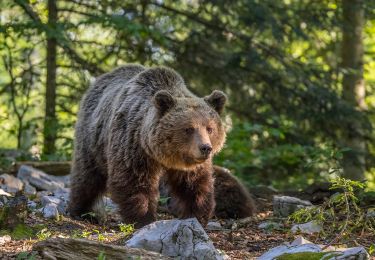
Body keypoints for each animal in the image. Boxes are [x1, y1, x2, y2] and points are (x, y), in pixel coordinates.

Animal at [67, 65, 226, 228]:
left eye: (210, 128)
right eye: (188, 129)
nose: (205, 148)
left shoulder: (189, 163)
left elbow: (194, 185)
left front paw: (197, 215)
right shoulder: (134, 147)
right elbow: (133, 181)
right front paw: (143, 218)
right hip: (93, 138)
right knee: (87, 176)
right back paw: (81, 211)